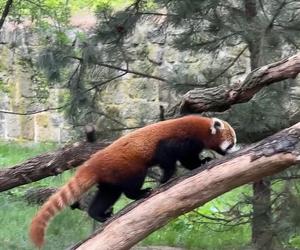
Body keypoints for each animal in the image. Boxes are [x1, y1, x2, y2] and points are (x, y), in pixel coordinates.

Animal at [29, 115, 236, 248]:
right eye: (231, 142)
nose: (234, 149)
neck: (202, 128)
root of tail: (93, 163)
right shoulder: (179, 139)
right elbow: (171, 158)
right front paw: (166, 177)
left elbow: (187, 159)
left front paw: (202, 161)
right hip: (129, 167)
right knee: (130, 186)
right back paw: (141, 193)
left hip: (110, 179)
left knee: (107, 195)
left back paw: (100, 214)